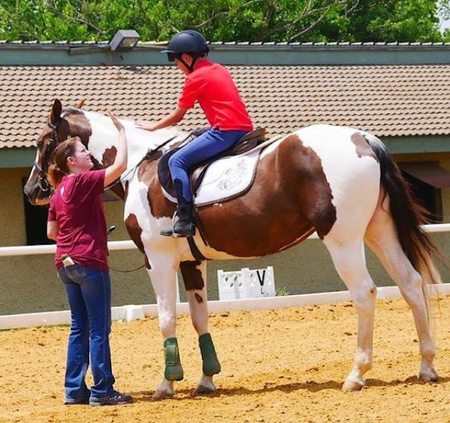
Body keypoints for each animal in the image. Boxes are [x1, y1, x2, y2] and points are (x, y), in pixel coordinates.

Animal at [22, 99, 442, 400]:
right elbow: (199, 317)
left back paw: (356, 374)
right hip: (379, 231)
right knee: (410, 284)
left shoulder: (158, 260)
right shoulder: (192, 262)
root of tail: (363, 139)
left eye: (44, 143)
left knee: (365, 293)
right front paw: (207, 380)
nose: (31, 191)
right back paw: (426, 365)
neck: (141, 164)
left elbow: (166, 318)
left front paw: (167, 384)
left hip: (343, 239)